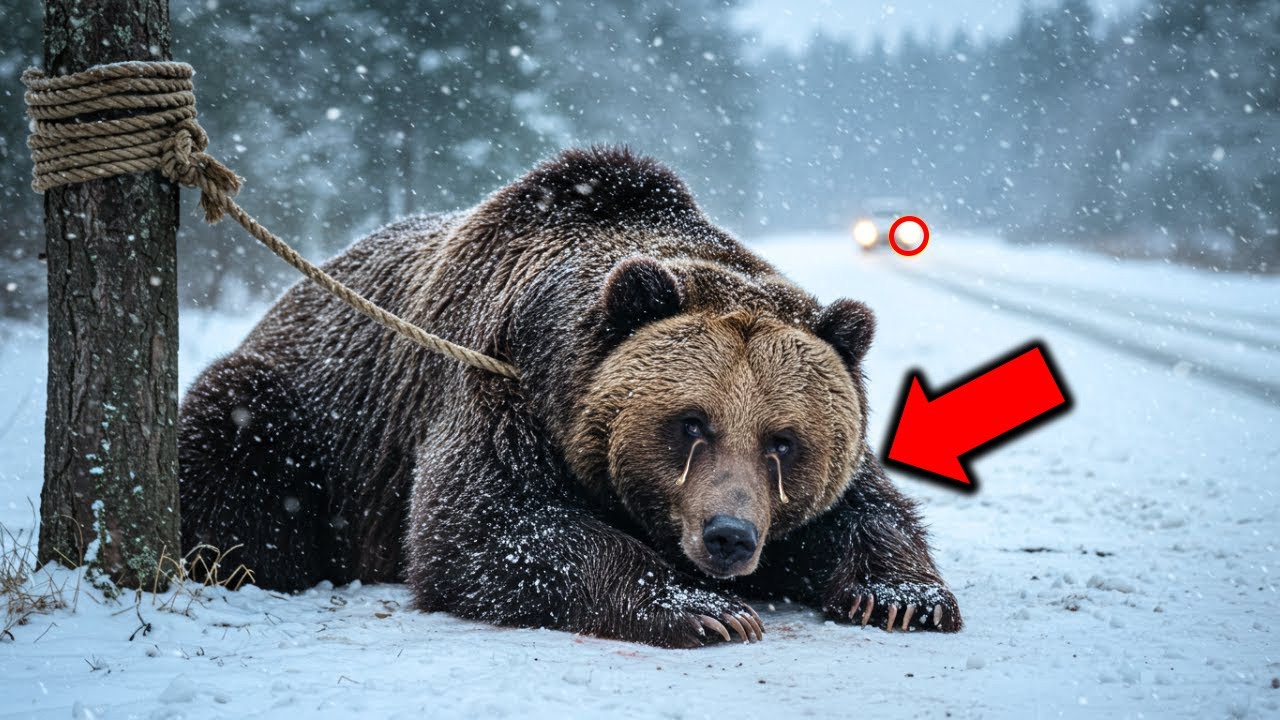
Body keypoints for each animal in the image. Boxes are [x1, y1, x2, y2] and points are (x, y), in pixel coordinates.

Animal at [178, 147, 962, 647]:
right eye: (691, 423)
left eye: (784, 440)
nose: (730, 536)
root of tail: (291, 295)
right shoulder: (501, 385)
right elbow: (490, 526)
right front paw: (706, 610)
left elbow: (867, 508)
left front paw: (903, 599)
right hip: (308, 412)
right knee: (233, 436)